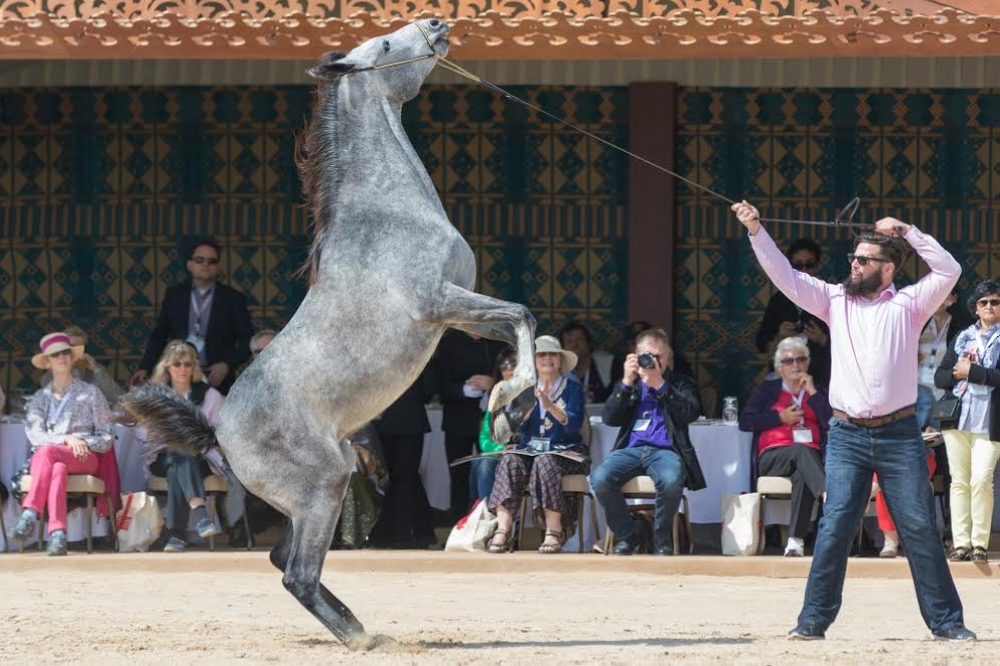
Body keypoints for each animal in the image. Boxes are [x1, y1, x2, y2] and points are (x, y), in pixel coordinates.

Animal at [123, 18, 540, 644]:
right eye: (387, 45)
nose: (437, 24)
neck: (388, 212)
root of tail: (216, 435)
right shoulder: (437, 304)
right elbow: (519, 315)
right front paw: (506, 400)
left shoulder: (458, 315)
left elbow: (521, 323)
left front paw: (508, 411)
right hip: (323, 485)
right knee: (295, 572)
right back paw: (361, 637)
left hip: (328, 482)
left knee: (285, 561)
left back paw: (359, 625)